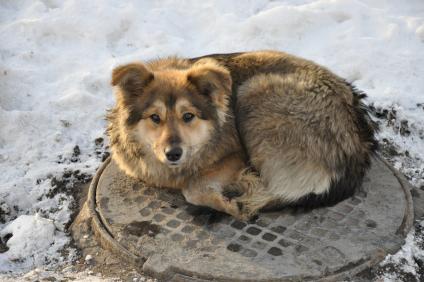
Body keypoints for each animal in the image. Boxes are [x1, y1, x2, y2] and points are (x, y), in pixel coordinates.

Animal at [107, 50, 378, 220]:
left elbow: (192, 187)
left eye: (188, 116)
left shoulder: (236, 155)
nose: (173, 154)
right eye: (155, 118)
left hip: (254, 92)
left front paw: (227, 202)